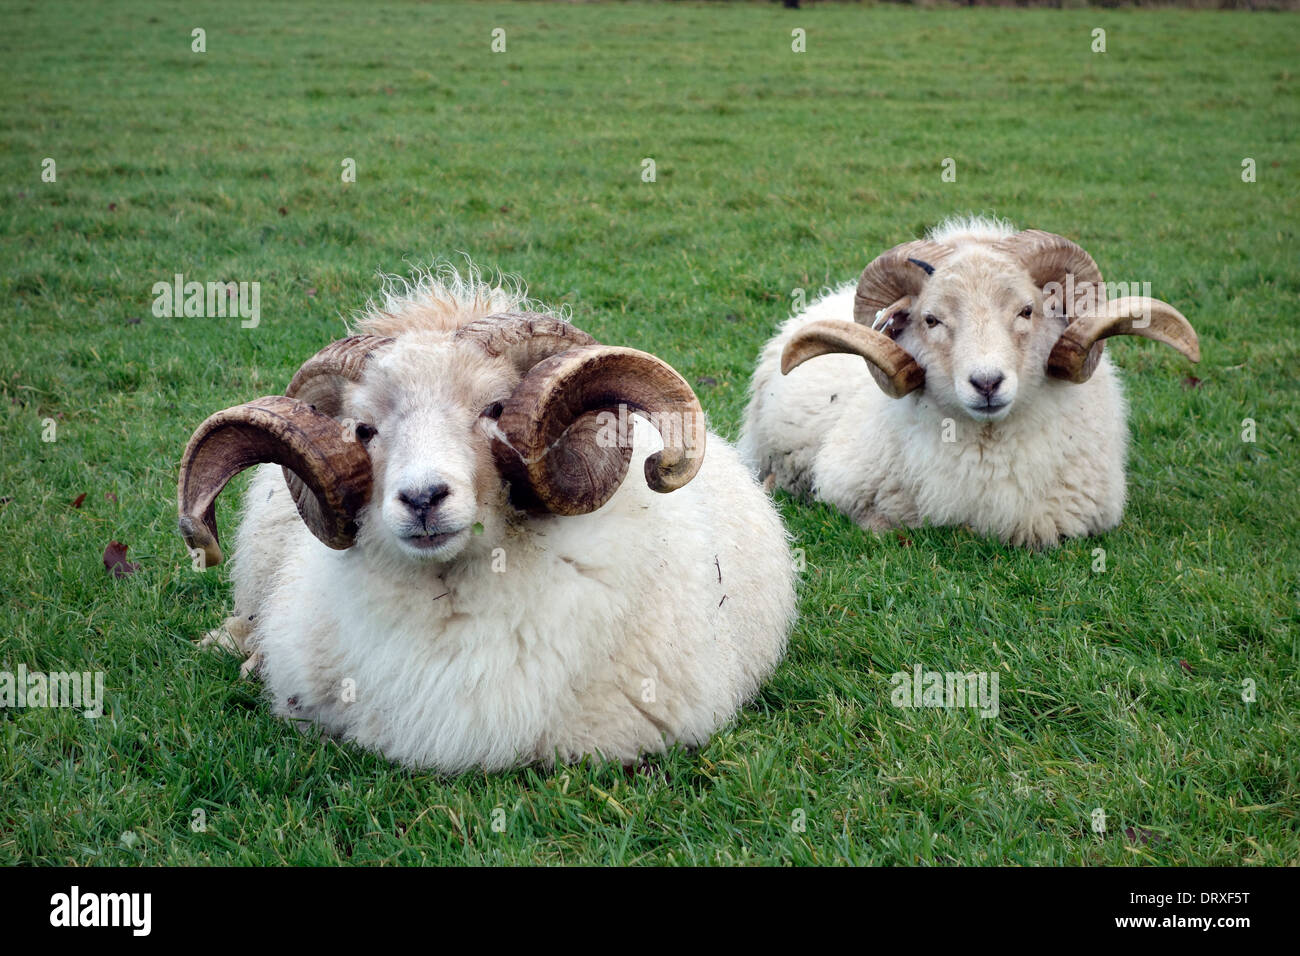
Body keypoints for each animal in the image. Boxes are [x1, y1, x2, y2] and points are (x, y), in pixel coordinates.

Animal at [738, 217, 1201, 549]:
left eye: (1027, 311)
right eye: (931, 319)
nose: (987, 382)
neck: (987, 446)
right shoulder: (847, 488)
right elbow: (880, 522)